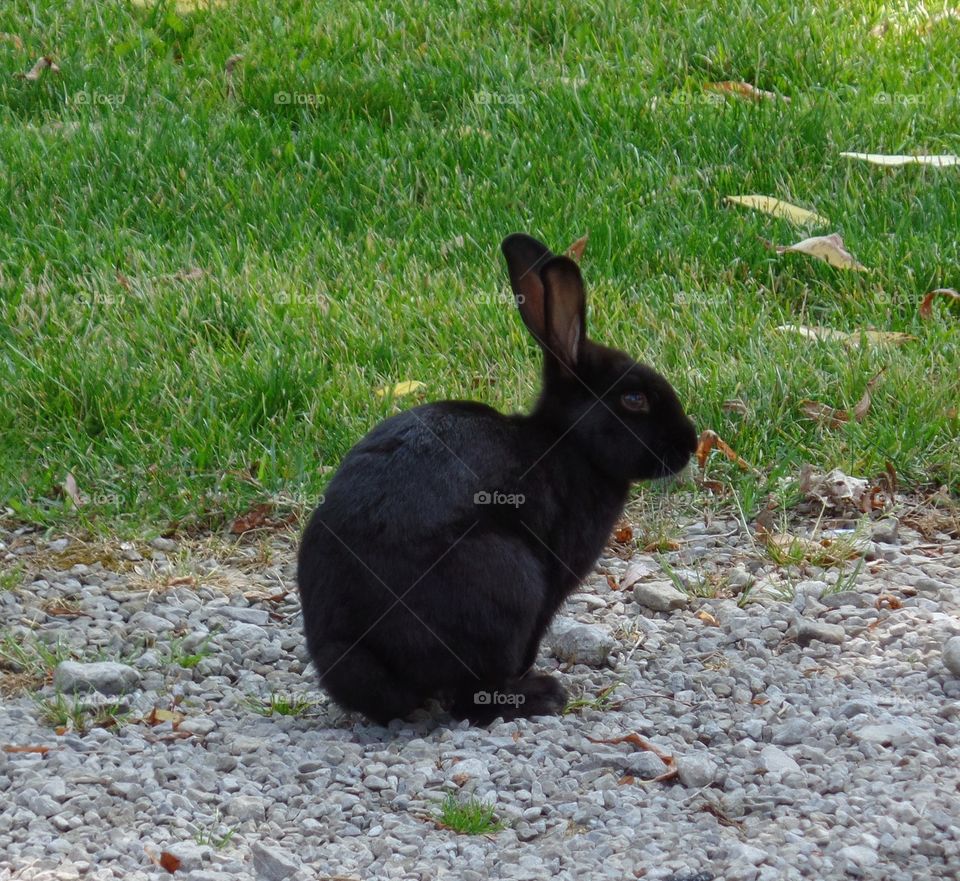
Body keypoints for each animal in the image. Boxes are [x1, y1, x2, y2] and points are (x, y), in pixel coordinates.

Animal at [297, 233, 698, 726]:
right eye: (634, 398)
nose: (690, 442)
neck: (566, 440)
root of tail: (360, 652)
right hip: (508, 578)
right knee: (472, 698)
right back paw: (541, 695)